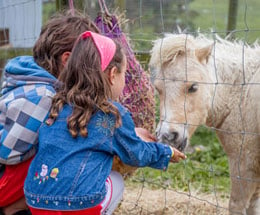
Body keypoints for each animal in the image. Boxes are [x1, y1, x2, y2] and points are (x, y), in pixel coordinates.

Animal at [149, 32, 260, 214]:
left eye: (193, 87)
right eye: (158, 89)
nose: (167, 137)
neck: (242, 95)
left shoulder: (244, 165)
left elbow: (237, 205)